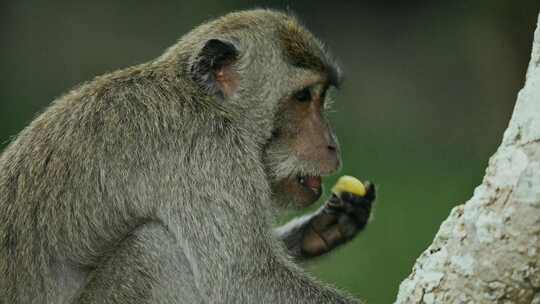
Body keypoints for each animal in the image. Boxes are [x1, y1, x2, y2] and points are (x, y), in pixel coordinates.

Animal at [0, 8, 376, 302]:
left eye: (321, 96)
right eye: (302, 97)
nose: (332, 145)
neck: (205, 99)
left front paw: (322, 229)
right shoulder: (210, 152)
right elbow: (248, 281)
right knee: (155, 247)